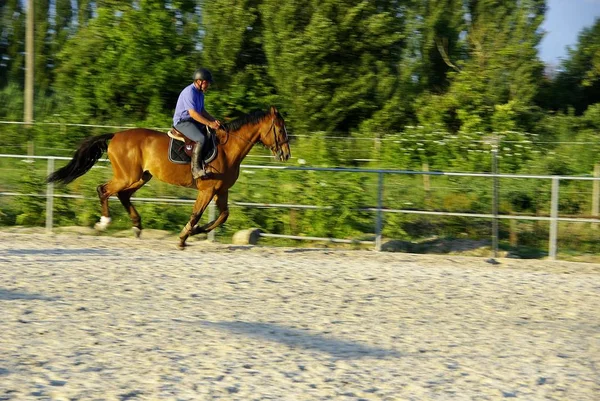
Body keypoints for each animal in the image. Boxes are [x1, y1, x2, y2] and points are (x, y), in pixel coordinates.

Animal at [47, 105, 290, 247]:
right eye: (280, 128)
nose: (286, 154)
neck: (227, 148)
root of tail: (116, 135)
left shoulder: (221, 190)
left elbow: (223, 216)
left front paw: (197, 231)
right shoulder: (207, 189)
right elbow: (196, 214)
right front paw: (184, 237)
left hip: (141, 177)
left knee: (123, 195)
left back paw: (137, 226)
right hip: (127, 176)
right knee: (104, 190)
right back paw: (104, 223)